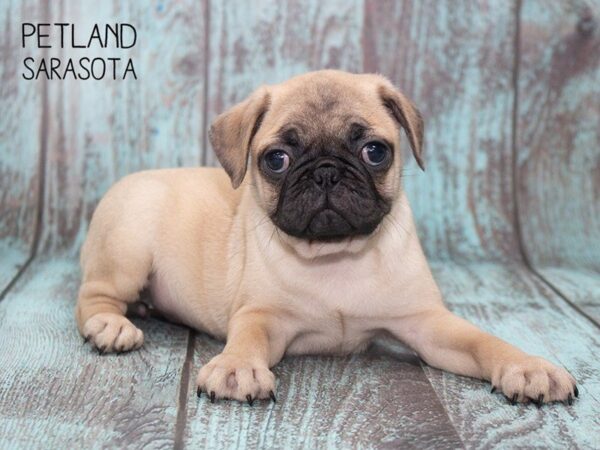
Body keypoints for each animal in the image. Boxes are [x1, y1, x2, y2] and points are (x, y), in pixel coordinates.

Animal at [75, 69, 576, 404]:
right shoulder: (262, 315)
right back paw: (112, 326)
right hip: (127, 247)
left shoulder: (428, 322)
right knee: (93, 297)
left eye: (374, 151)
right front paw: (237, 366)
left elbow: (481, 340)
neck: (336, 257)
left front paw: (527, 366)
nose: (326, 173)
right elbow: (247, 338)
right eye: (276, 159)